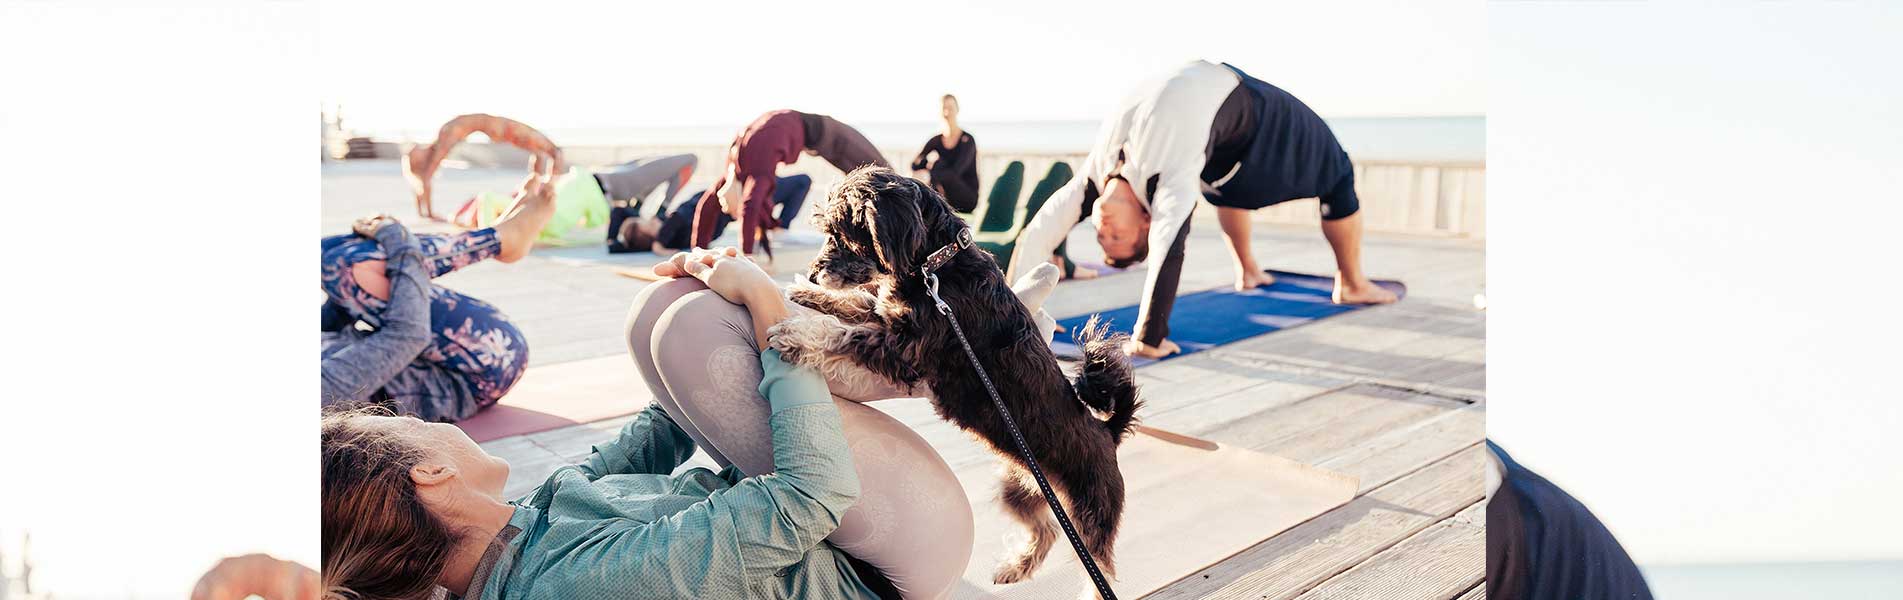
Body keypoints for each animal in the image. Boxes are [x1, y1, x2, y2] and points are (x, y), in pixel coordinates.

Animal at [772, 165, 1141, 586]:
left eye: (841, 233)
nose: (814, 274)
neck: (936, 265)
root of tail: (1108, 433)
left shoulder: (904, 350)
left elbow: (841, 334)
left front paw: (795, 335)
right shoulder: (888, 317)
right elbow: (860, 302)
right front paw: (805, 294)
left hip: (1089, 521)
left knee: (1100, 572)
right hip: (1017, 489)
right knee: (1045, 530)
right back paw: (1014, 568)